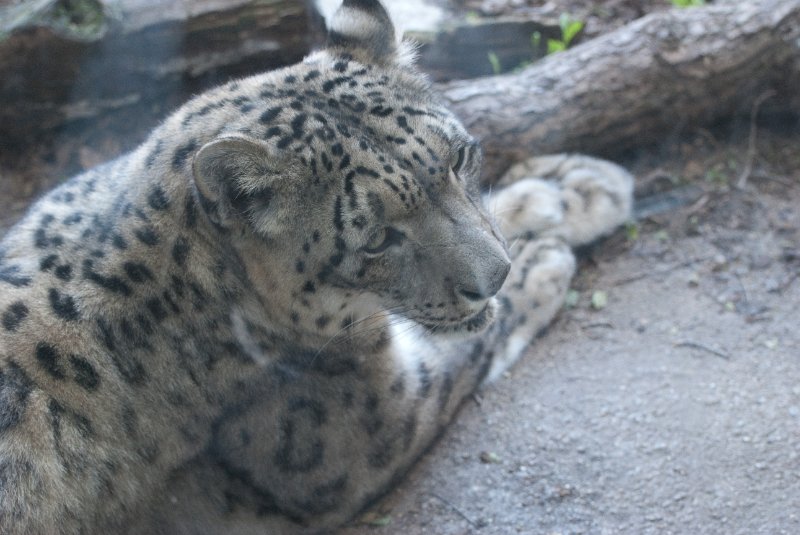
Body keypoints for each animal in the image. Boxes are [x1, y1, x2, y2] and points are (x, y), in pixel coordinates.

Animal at [0, 0, 633, 533]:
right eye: (377, 239)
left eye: (458, 158)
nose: (492, 277)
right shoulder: (376, 420)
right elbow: (470, 345)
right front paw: (546, 249)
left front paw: (568, 187)